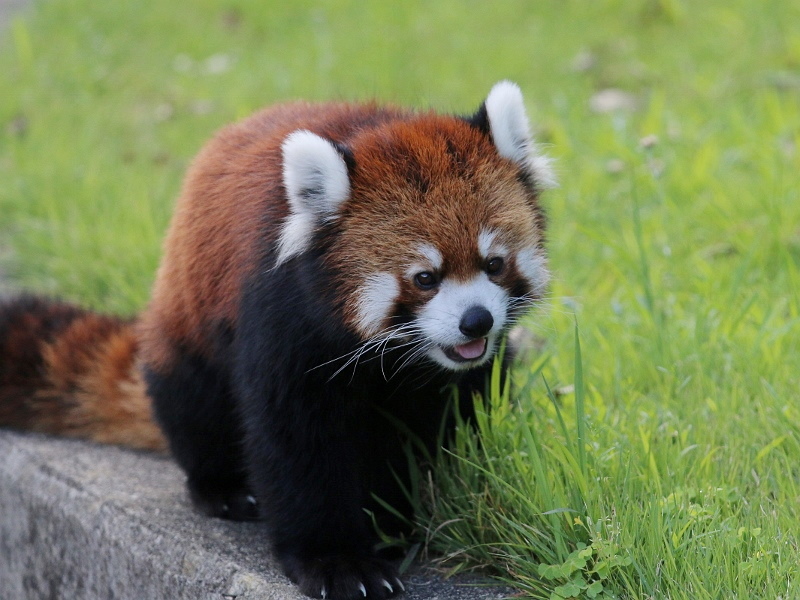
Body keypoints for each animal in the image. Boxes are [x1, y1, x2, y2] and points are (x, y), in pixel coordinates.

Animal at [0, 82, 552, 600]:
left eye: (494, 263)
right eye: (424, 278)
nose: (476, 321)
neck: (394, 357)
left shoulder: (458, 374)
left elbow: (449, 419)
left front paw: (400, 513)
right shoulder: (282, 320)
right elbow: (296, 443)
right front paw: (338, 562)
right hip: (187, 330)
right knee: (192, 404)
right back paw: (221, 487)